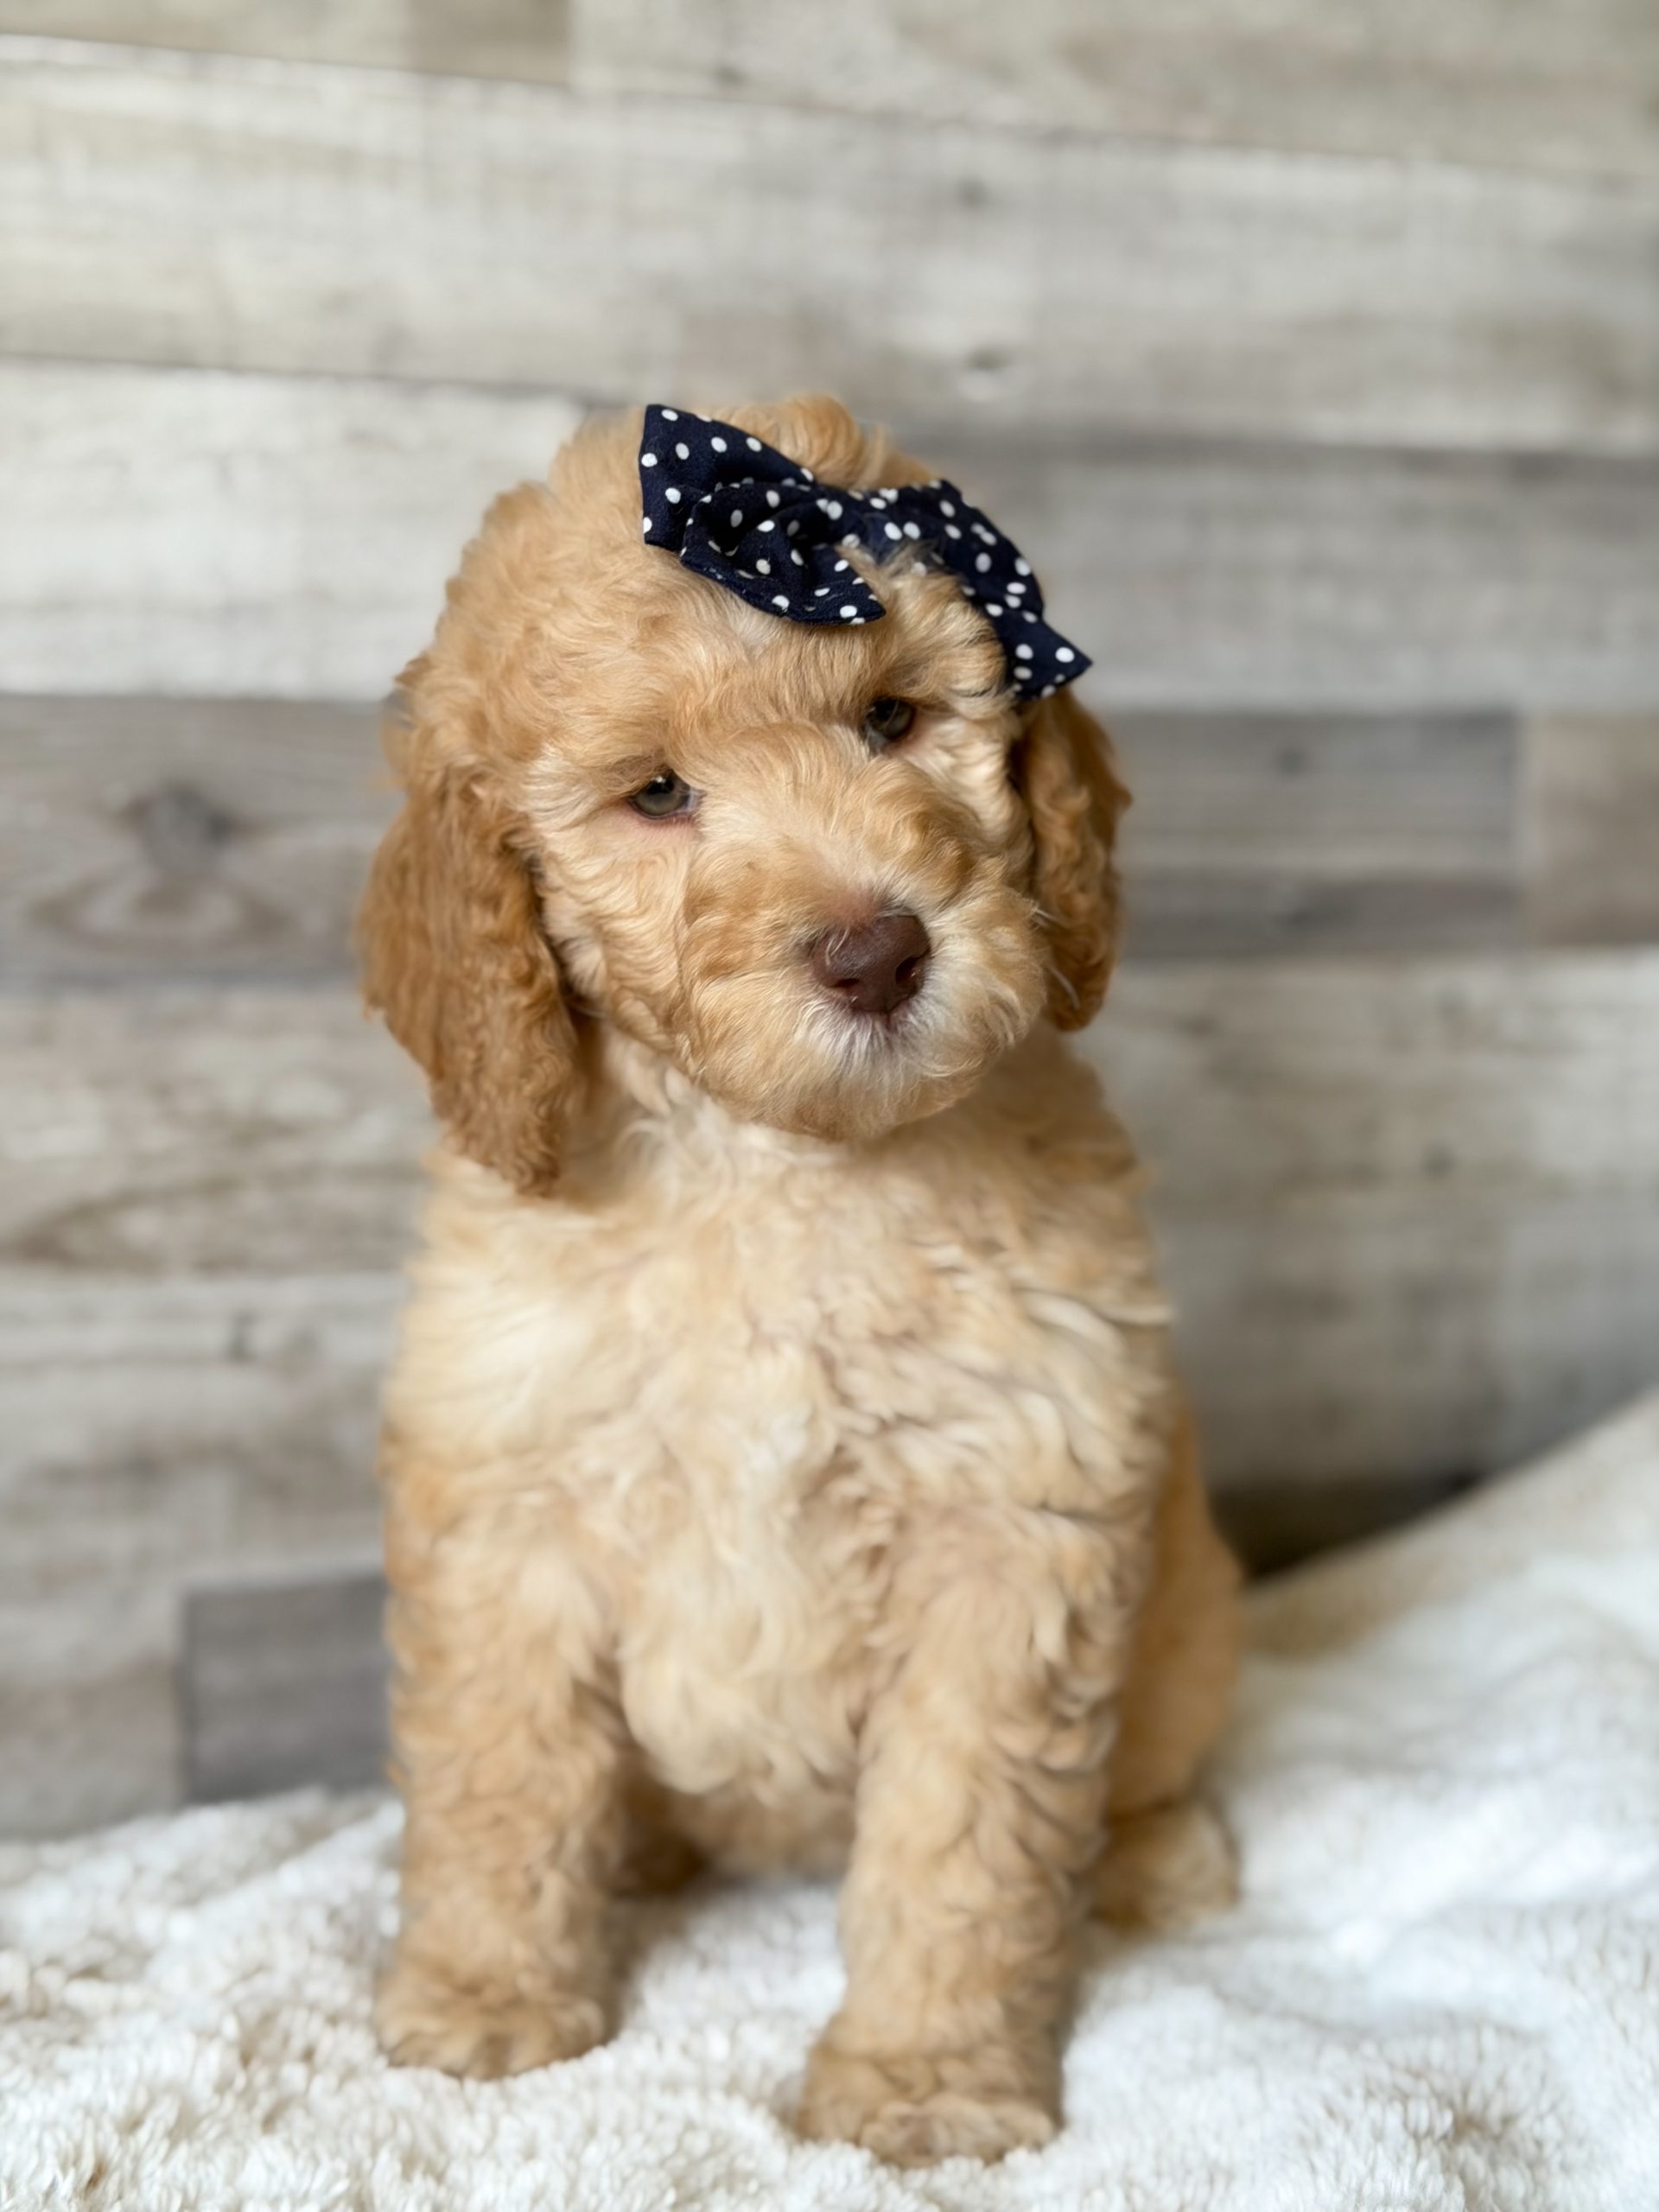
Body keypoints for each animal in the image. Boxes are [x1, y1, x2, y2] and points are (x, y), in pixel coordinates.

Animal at [359, 395, 1241, 2166]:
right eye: (658, 794)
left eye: (893, 718)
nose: (876, 953)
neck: (781, 1166)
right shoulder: (508, 1502)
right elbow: (499, 1780)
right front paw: (486, 1997)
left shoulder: (1014, 1521)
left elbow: (966, 1837)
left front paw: (925, 2079)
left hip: (1184, 1632)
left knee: (1144, 1774)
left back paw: (1160, 1862)